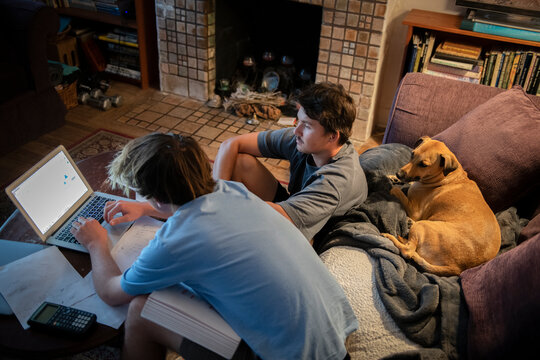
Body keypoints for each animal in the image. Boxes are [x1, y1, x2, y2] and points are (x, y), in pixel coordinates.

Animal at [382, 137, 500, 276]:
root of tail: (457, 268)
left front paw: (392, 186)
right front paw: (393, 178)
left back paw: (390, 237)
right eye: (412, 154)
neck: (446, 177)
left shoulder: (414, 211)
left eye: (424, 165)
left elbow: (397, 191)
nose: (398, 174)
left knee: (408, 251)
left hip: (422, 225)